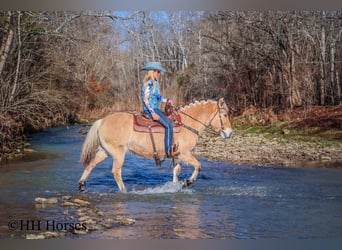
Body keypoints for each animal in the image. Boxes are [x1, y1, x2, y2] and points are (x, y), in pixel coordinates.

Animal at [78, 97, 232, 191]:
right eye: (224, 115)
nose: (229, 133)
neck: (187, 124)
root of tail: (102, 121)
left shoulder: (178, 156)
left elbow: (176, 172)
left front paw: (176, 186)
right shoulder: (185, 153)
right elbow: (198, 166)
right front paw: (187, 182)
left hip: (104, 151)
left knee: (91, 164)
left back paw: (82, 184)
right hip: (118, 153)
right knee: (116, 171)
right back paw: (124, 190)